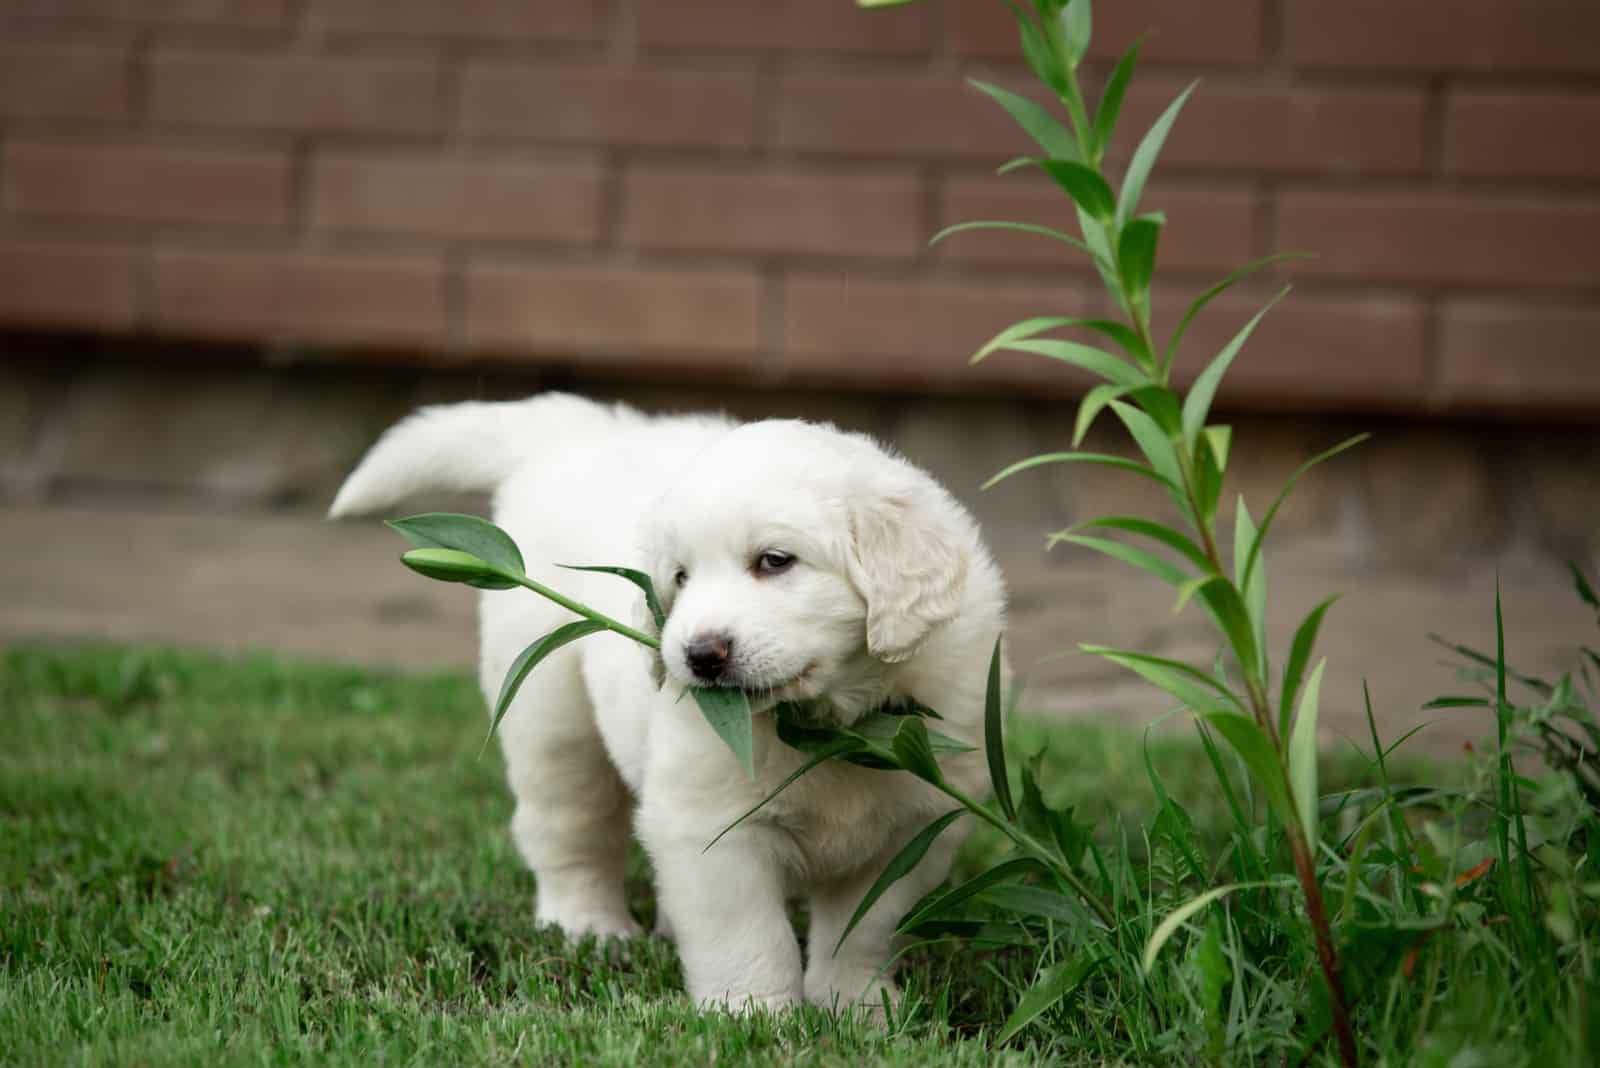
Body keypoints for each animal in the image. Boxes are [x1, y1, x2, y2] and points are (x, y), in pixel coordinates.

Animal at [331, 396, 1004, 1016]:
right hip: (552, 715)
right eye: (680, 577)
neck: (823, 727)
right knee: (567, 828)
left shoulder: (915, 829)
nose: (699, 655)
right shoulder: (712, 827)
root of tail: (578, 434)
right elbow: (748, 935)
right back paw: (587, 925)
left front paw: (858, 1008)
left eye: (775, 561)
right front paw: (753, 1017)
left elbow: (864, 930)